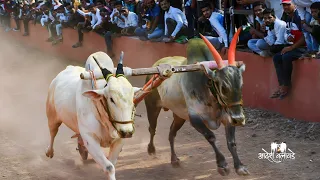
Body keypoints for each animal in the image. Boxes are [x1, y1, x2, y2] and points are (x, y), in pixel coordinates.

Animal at [45, 51, 140, 179]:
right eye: (111, 99)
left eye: (132, 98)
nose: (127, 132)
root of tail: (67, 68)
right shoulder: (90, 138)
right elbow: (109, 167)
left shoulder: (119, 140)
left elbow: (112, 163)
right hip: (51, 115)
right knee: (53, 133)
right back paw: (49, 152)